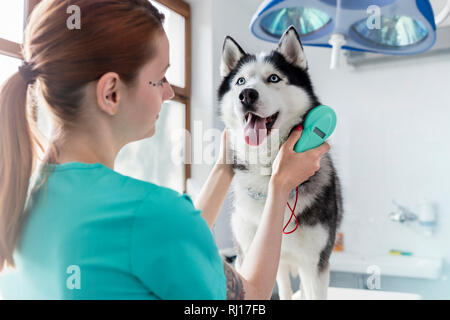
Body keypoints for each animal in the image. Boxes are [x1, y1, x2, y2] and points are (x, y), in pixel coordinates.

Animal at [216, 26, 342, 300]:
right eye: (240, 81)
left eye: (274, 78)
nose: (246, 95)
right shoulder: (246, 257)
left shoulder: (315, 265)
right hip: (279, 263)